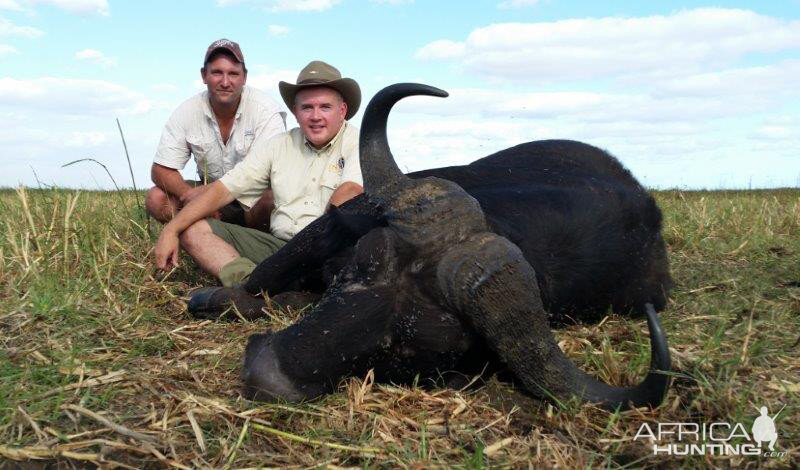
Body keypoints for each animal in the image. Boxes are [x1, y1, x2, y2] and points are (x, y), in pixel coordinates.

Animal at [186, 82, 668, 410]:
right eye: (359, 267)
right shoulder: (329, 230)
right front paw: (211, 297)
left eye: (409, 345)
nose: (266, 372)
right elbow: (256, 282)